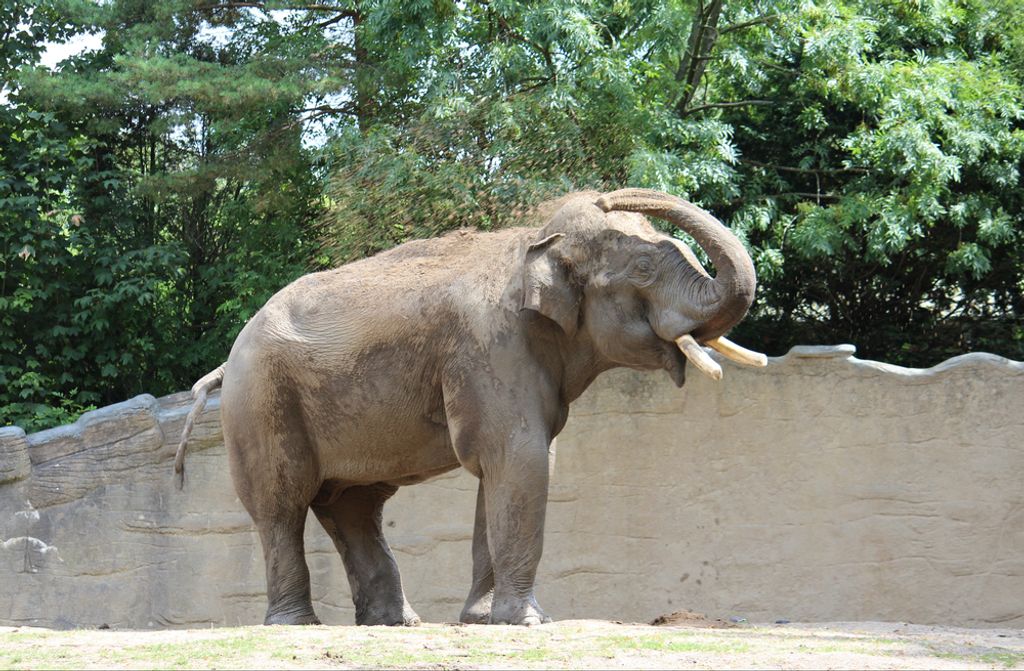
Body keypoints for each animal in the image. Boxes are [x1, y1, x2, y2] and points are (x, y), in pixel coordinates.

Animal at [174, 188, 766, 627]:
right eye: (643, 266)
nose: (608, 194)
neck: (531, 242)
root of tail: (229, 358)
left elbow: (510, 471)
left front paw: (484, 620)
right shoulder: (492, 347)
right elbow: (521, 460)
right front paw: (529, 622)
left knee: (354, 506)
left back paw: (395, 624)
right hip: (261, 401)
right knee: (283, 502)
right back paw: (298, 624)